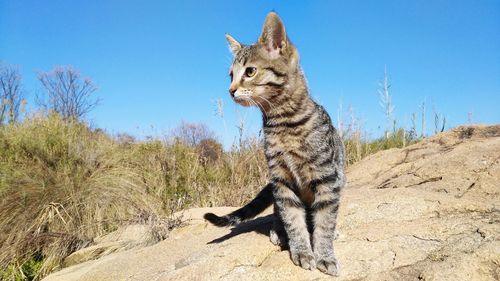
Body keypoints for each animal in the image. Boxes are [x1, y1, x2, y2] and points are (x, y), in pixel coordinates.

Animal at [205, 12, 346, 274]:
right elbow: (292, 219)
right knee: (278, 213)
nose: (230, 90)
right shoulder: (281, 178)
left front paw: (325, 254)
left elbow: (324, 221)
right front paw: (301, 250)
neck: (284, 124)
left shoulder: (327, 179)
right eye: (231, 75)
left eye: (250, 71)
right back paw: (278, 231)